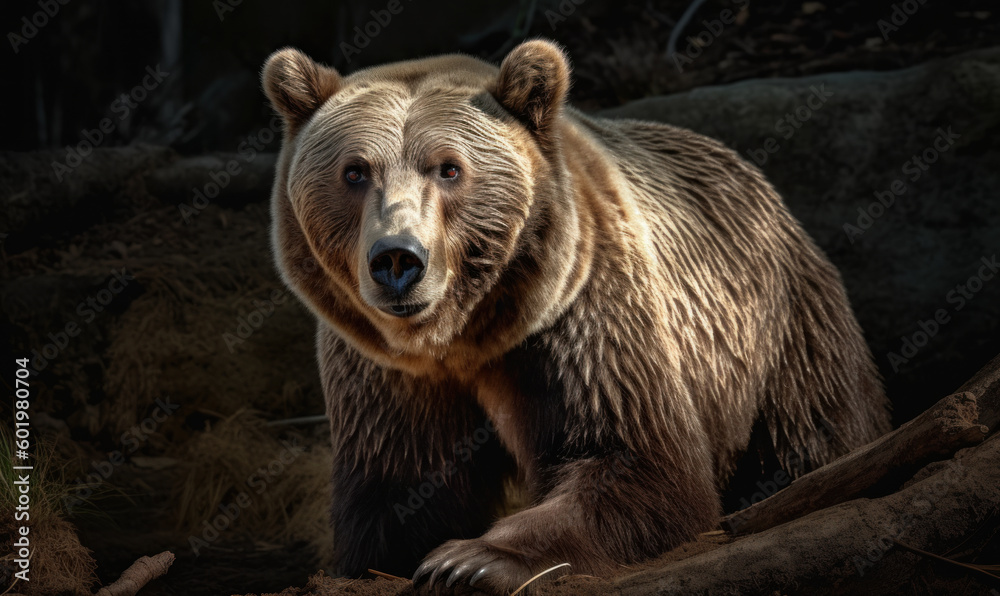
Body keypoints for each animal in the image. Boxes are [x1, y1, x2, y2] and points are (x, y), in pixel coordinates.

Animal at [262, 39, 891, 595]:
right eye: (355, 171)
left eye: (448, 169)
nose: (397, 259)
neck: (462, 336)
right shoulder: (384, 371)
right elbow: (398, 485)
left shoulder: (581, 315)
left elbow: (635, 459)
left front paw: (470, 561)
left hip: (778, 327)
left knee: (817, 426)